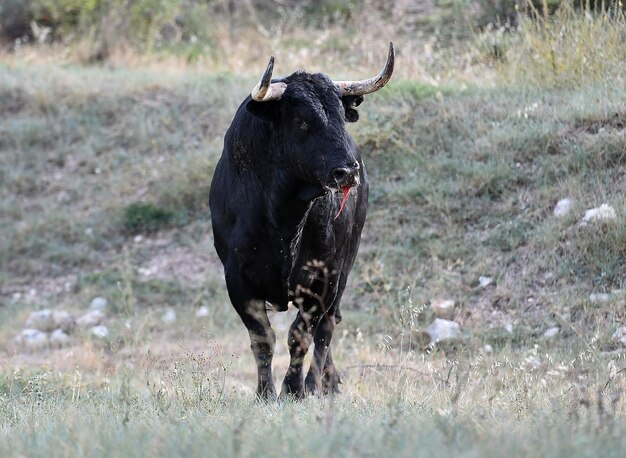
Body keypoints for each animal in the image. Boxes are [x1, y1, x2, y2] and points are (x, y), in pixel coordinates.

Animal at [210, 43, 394, 400]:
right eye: (301, 121)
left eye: (341, 117)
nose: (347, 172)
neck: (283, 216)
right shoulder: (237, 278)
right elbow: (262, 338)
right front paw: (265, 393)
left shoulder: (324, 277)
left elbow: (301, 335)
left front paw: (293, 389)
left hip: (344, 267)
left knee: (327, 326)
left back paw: (319, 383)